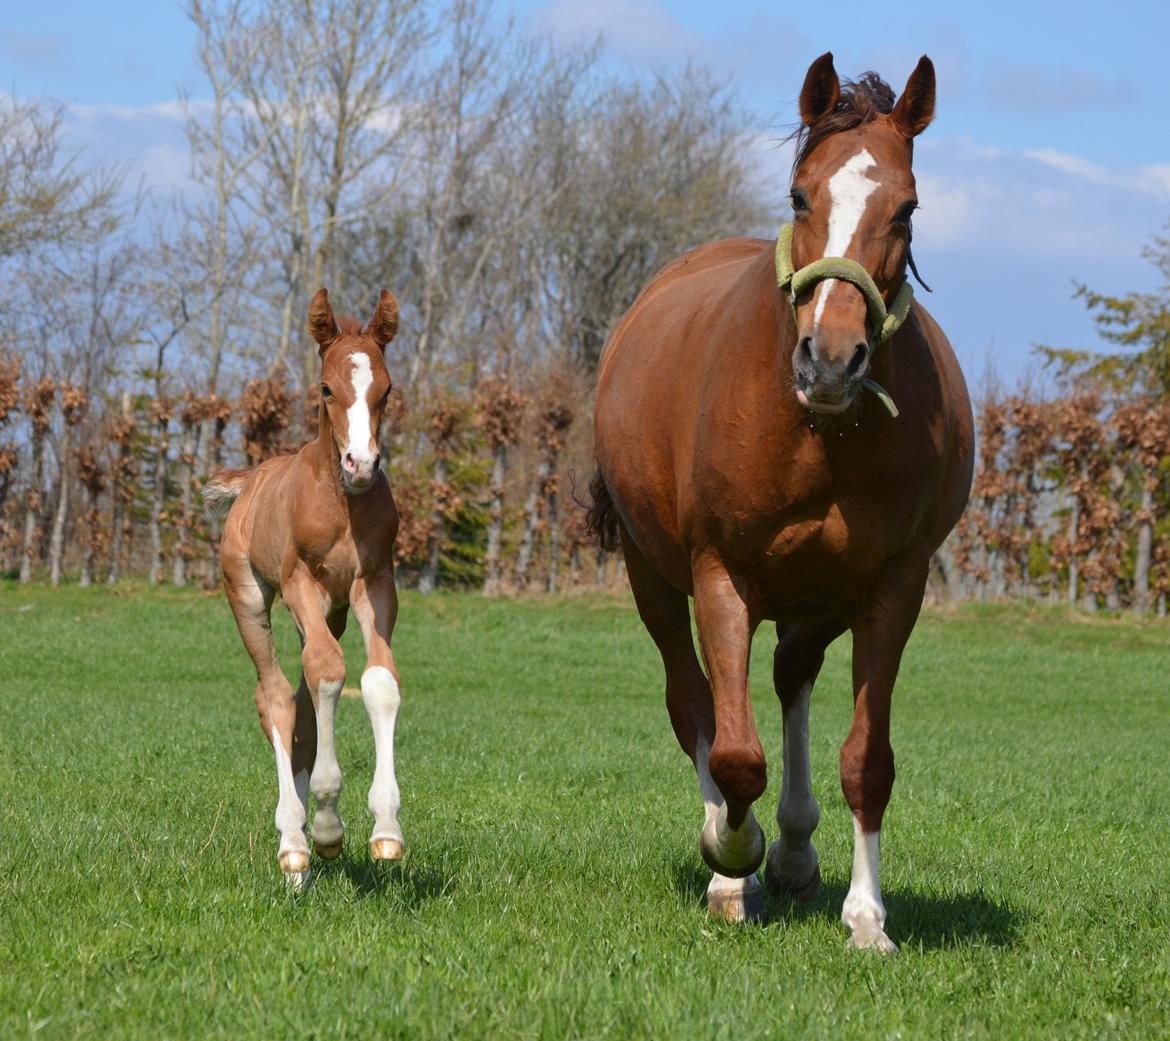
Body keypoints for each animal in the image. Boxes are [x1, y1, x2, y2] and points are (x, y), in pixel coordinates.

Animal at [209, 290, 407, 884]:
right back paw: (294, 845)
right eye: (325, 388)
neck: (340, 500)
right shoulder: (301, 582)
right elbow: (328, 671)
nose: (361, 464)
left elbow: (377, 681)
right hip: (249, 596)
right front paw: (326, 827)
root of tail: (250, 481)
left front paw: (386, 829)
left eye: (387, 389)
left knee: (300, 703)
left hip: (333, 611)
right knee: (275, 695)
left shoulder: (374, 584)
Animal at [589, 56, 973, 949]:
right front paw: (733, 858)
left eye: (906, 207)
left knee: (791, 675)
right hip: (654, 577)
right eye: (801, 195)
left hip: (818, 595)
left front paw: (867, 916)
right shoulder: (721, 576)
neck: (818, 429)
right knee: (693, 703)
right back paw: (739, 859)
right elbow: (734, 753)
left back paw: (797, 850)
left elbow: (867, 759)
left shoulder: (892, 585)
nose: (829, 358)